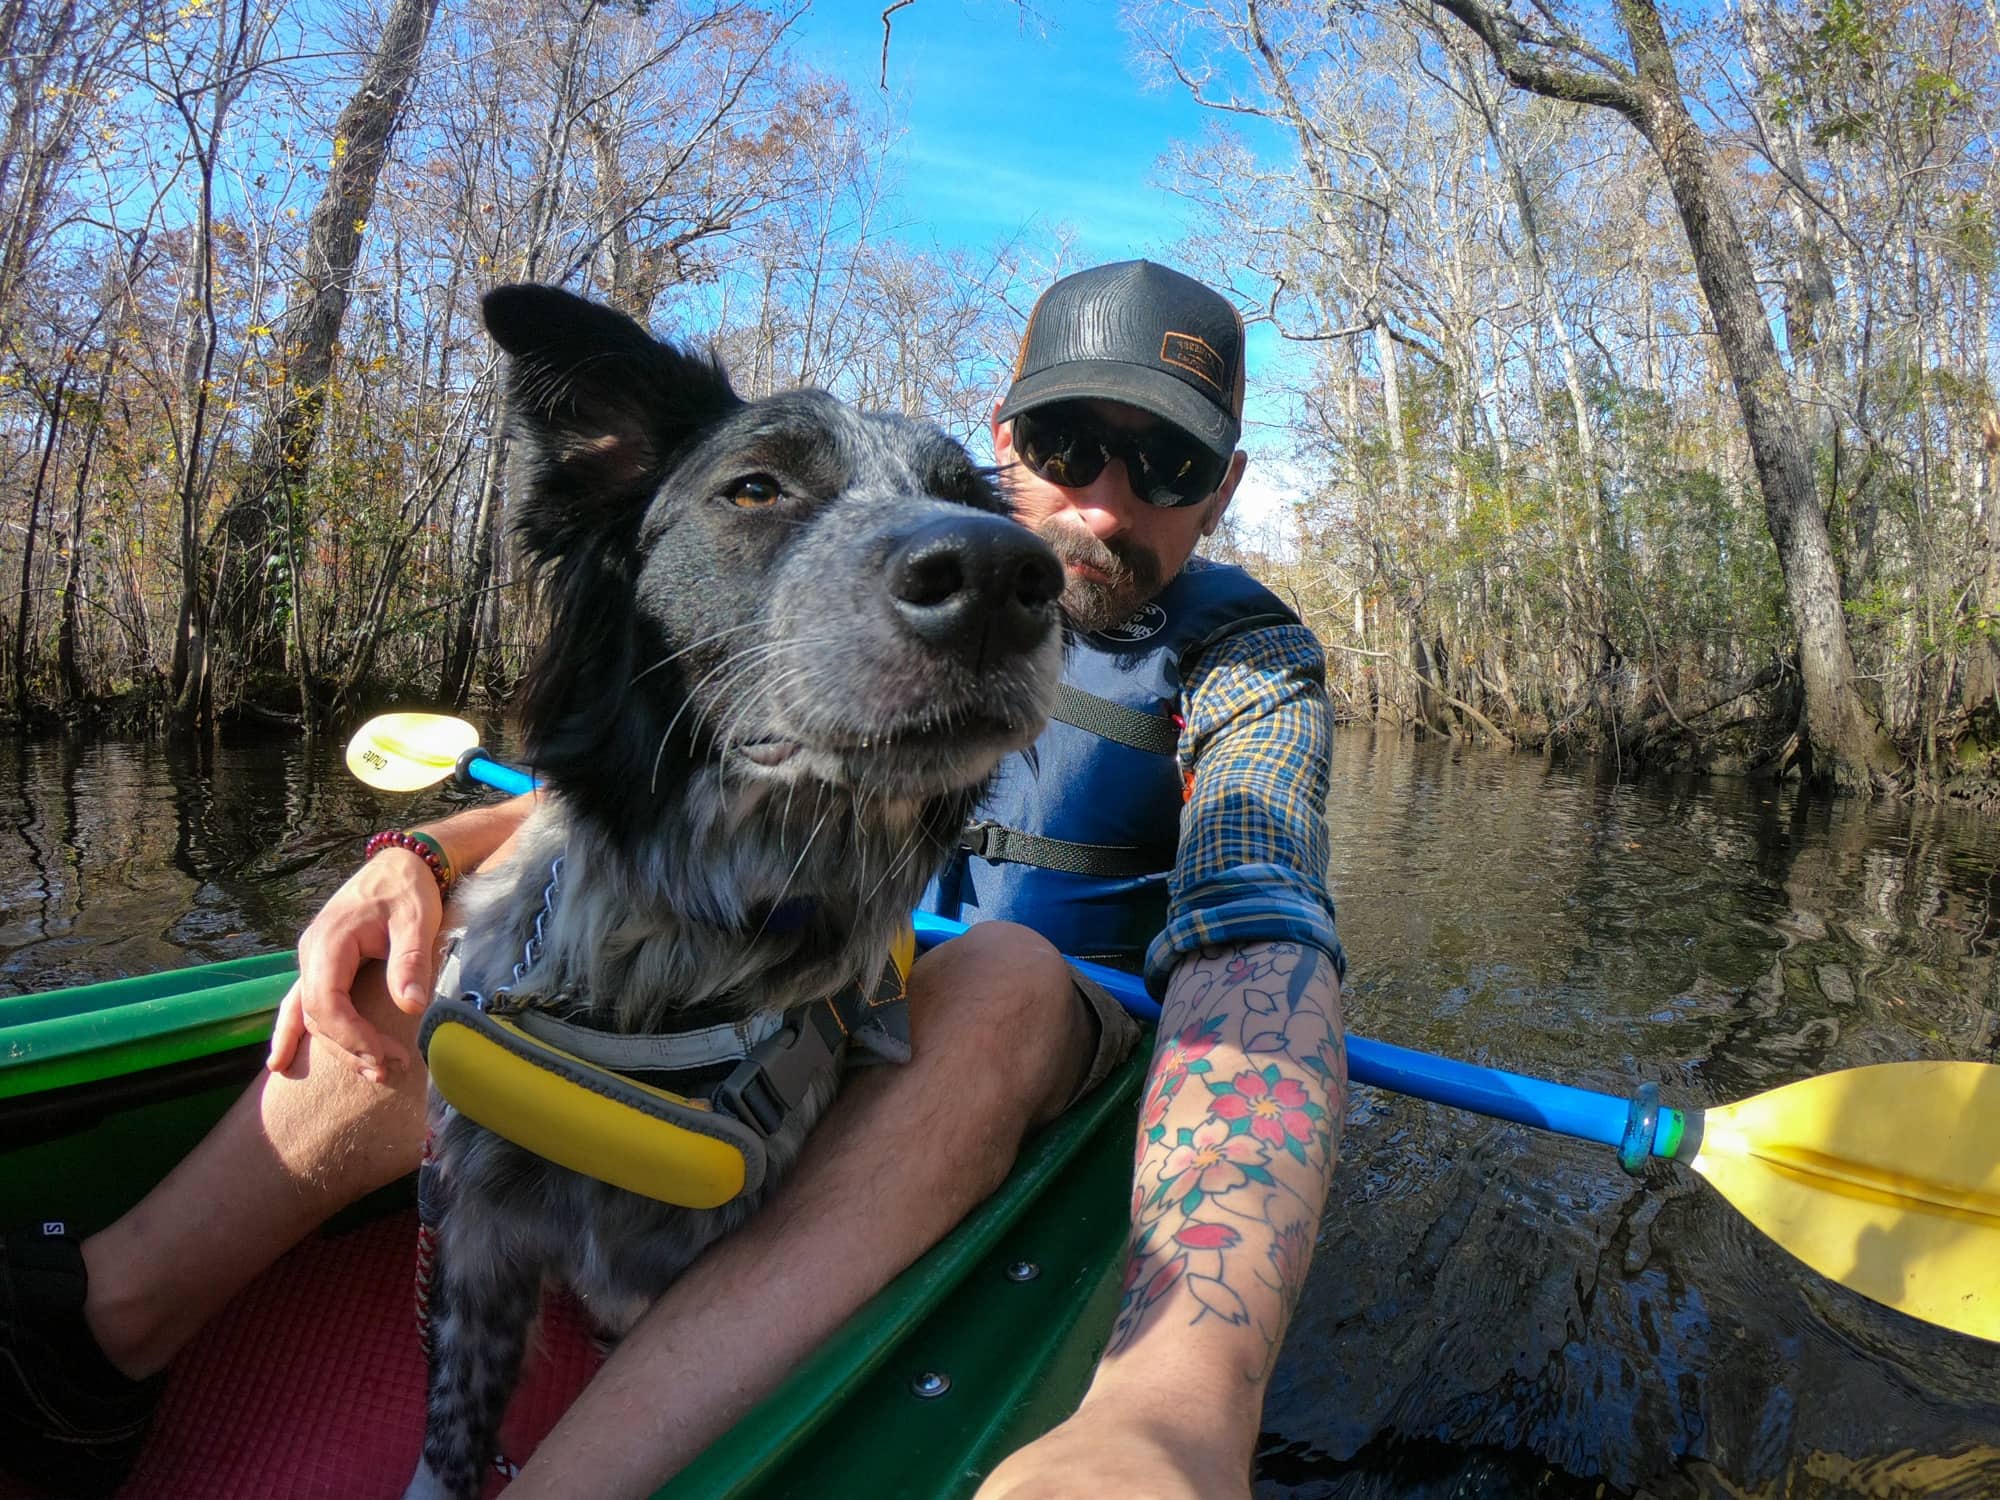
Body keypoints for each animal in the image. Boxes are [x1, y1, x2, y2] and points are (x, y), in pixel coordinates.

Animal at [398, 284, 1072, 1500]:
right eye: (755, 488)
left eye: (964, 497)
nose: (1005, 578)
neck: (669, 969)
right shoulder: (476, 1234)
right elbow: (453, 1425)